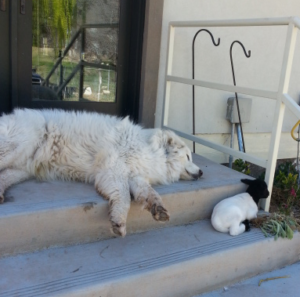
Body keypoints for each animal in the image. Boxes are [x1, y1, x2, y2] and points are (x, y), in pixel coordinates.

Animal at [0, 108, 202, 236]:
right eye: (188, 156)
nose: (201, 172)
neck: (152, 150)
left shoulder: (134, 175)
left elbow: (148, 192)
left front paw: (158, 208)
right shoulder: (113, 169)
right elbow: (124, 196)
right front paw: (118, 220)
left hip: (23, 167)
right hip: (18, 146)